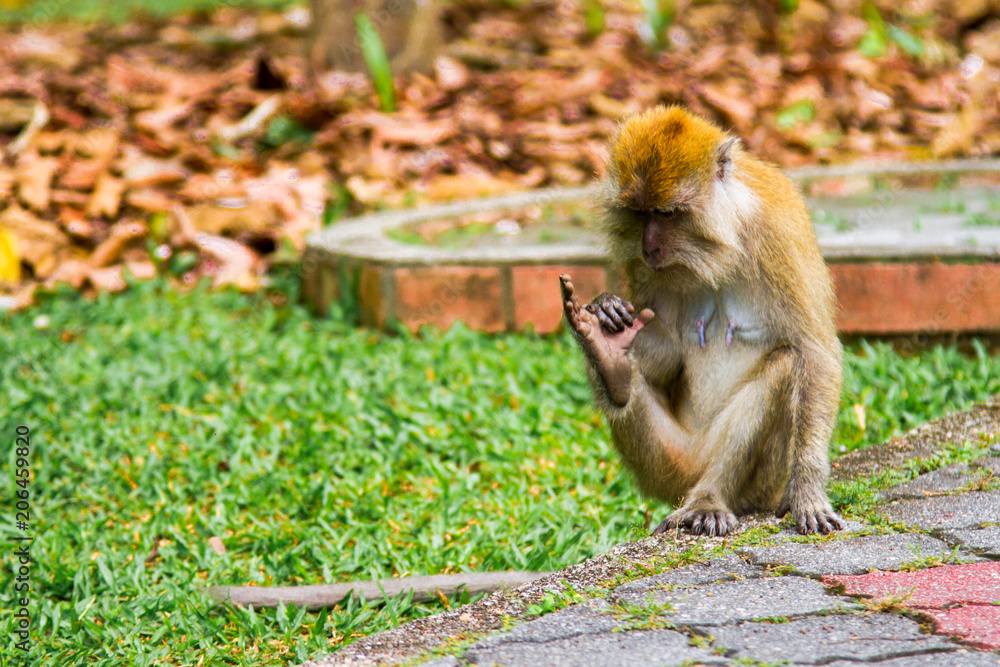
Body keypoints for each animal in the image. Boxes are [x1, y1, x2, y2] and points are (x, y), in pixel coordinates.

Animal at [561, 105, 845, 537]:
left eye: (667, 214)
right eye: (640, 214)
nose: (649, 246)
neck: (723, 242)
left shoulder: (780, 235)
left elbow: (814, 354)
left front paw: (808, 489)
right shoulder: (642, 268)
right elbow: (667, 360)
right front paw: (608, 313)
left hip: (758, 483)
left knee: (785, 363)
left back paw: (709, 499)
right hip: (669, 466)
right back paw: (612, 368)